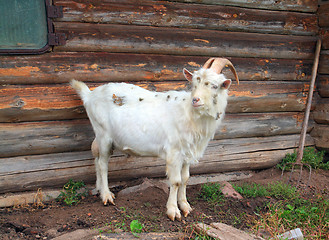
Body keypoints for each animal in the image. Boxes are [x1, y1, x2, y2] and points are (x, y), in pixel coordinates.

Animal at [70, 57, 237, 221]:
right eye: (194, 84)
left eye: (215, 86)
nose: (195, 100)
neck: (189, 113)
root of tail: (89, 95)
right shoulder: (174, 152)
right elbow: (176, 181)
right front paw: (173, 211)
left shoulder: (188, 153)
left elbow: (185, 179)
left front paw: (185, 206)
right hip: (103, 134)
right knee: (103, 164)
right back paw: (106, 196)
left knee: (97, 158)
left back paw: (100, 190)